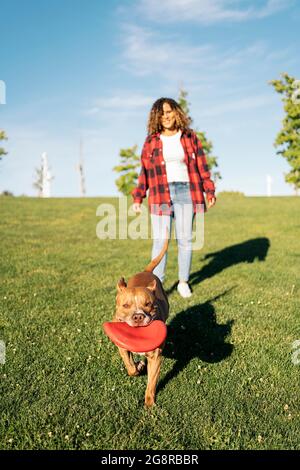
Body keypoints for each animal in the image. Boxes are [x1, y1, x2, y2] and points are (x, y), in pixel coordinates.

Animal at [112, 239, 169, 408]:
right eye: (125, 305)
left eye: (148, 304)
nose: (138, 316)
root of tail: (146, 271)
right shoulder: (123, 347)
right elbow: (130, 367)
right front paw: (138, 366)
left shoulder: (155, 357)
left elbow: (151, 383)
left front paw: (149, 403)